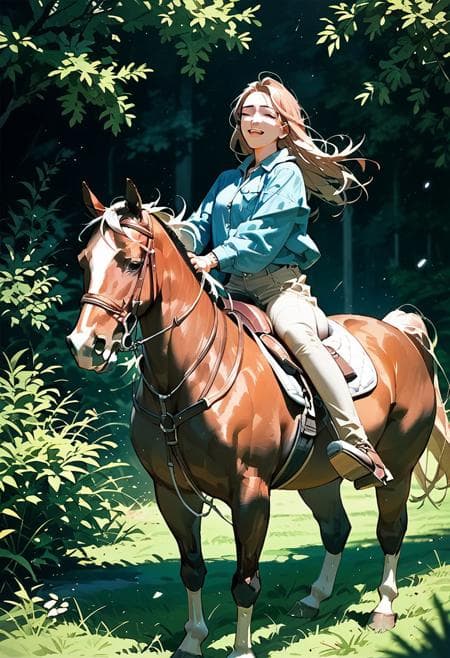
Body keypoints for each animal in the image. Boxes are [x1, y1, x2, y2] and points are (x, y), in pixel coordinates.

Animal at [67, 180, 449, 658]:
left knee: (391, 531)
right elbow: (192, 569)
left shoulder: (250, 491)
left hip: (397, 466)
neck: (190, 375)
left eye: (132, 261)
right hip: (317, 479)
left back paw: (383, 608)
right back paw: (313, 599)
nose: (87, 344)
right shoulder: (171, 493)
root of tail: (399, 335)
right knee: (337, 529)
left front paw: (242, 649)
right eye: (85, 261)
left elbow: (245, 581)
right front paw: (192, 641)